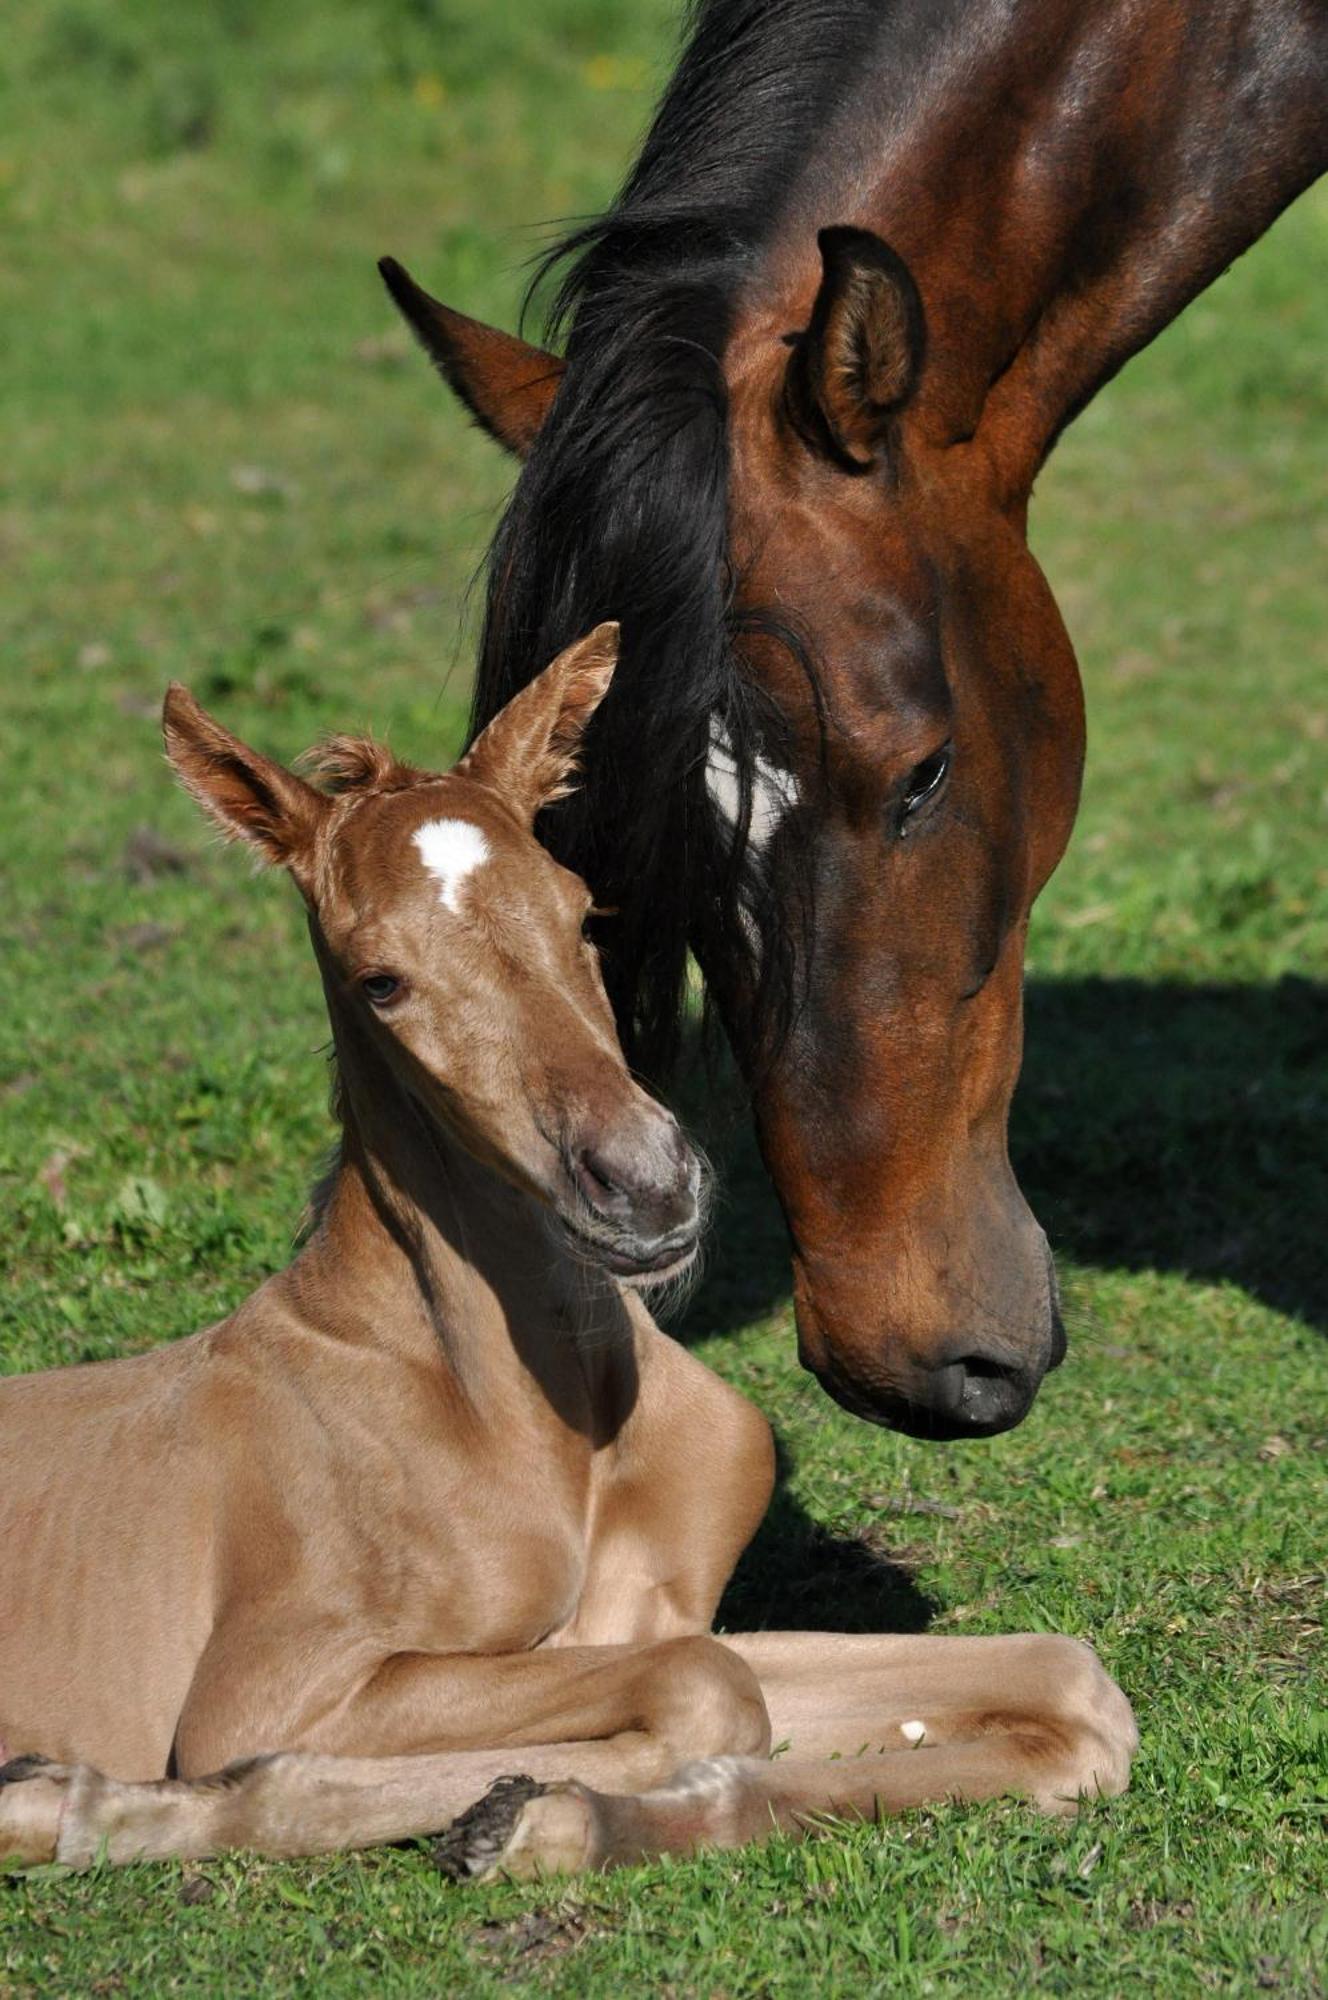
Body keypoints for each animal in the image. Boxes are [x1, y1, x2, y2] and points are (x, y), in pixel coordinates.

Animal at [2, 632, 1128, 1880]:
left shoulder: (650, 1616)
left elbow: (1066, 1685)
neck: (546, 1419)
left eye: (585, 916)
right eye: (378, 980)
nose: (644, 1182)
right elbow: (704, 1691)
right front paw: (87, 1800)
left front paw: (563, 1813)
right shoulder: (266, 1688)